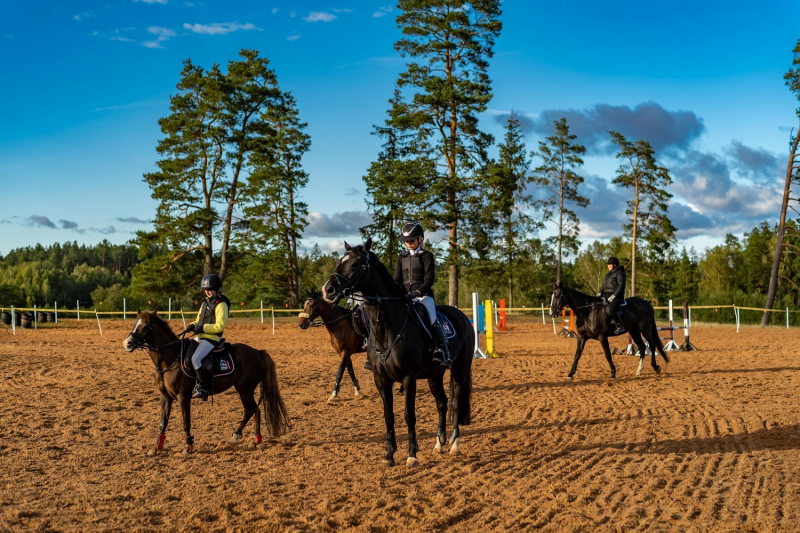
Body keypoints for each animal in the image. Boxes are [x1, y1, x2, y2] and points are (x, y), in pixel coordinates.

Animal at [122, 308, 290, 454]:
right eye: (134, 324)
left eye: (145, 327)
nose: (127, 343)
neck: (171, 358)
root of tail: (259, 352)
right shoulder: (165, 397)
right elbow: (163, 422)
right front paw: (157, 447)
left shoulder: (183, 397)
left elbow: (186, 422)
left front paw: (189, 447)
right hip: (244, 389)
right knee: (252, 410)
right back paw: (244, 437)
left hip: (245, 389)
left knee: (253, 410)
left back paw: (250, 438)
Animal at [324, 239, 476, 468]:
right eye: (338, 262)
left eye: (356, 264)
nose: (328, 290)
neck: (387, 328)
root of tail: (462, 316)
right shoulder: (381, 379)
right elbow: (388, 415)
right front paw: (389, 455)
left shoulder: (408, 378)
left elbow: (408, 415)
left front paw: (412, 455)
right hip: (435, 374)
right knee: (441, 402)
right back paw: (439, 443)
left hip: (459, 369)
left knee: (455, 403)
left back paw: (454, 445)